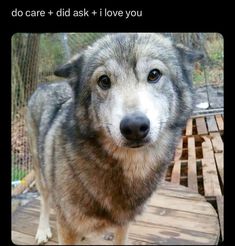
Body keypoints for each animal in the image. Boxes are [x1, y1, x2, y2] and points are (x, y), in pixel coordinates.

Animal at [25, 33, 203, 244]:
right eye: (104, 80)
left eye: (154, 74)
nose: (134, 127)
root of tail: (45, 85)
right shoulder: (66, 226)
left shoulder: (124, 223)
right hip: (41, 174)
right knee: (45, 201)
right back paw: (42, 230)